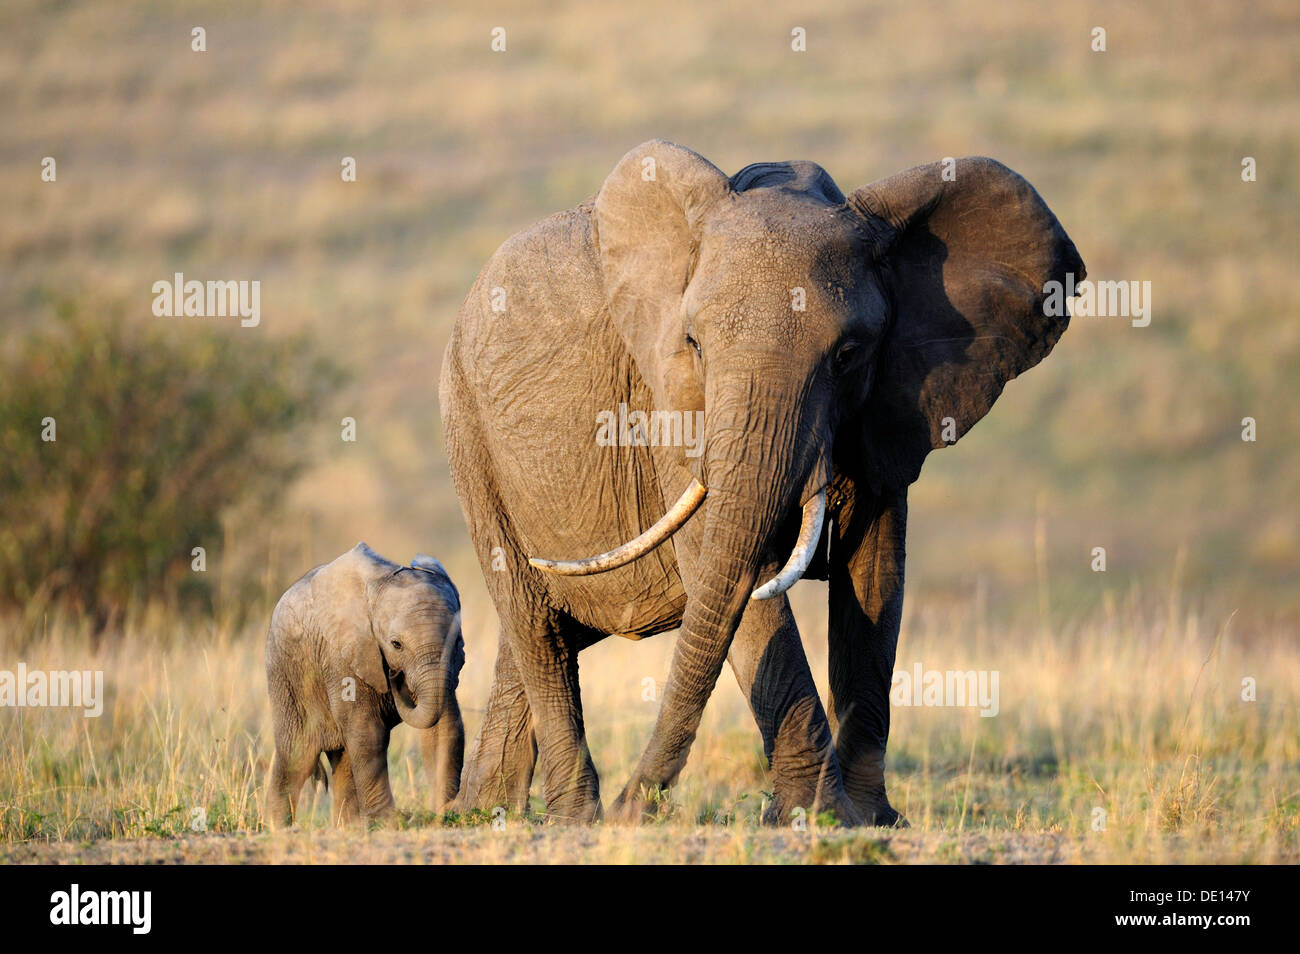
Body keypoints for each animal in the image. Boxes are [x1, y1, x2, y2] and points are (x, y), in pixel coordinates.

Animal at [265, 543, 466, 827]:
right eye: (396, 645)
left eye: (457, 640)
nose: (395, 677)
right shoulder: (342, 655)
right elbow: (369, 732)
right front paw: (389, 822)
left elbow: (445, 728)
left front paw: (444, 812)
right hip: (285, 674)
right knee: (296, 755)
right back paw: (275, 828)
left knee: (343, 758)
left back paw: (347, 828)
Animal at [439, 140, 1083, 825]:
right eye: (693, 343)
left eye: (849, 353)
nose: (632, 807)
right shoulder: (672, 408)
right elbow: (736, 575)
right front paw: (813, 816)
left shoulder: (890, 406)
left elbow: (877, 580)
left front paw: (870, 819)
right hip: (469, 432)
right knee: (532, 620)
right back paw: (571, 818)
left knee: (542, 633)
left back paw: (485, 811)